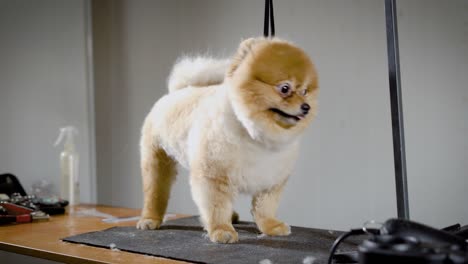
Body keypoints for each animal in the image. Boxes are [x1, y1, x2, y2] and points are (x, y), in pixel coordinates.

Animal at [135, 37, 318, 243]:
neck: (256, 136)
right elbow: (216, 206)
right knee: (155, 191)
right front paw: (221, 230)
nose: (306, 107)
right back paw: (150, 219)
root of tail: (179, 90)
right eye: (285, 88)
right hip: (157, 157)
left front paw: (271, 226)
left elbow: (265, 207)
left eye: (305, 91)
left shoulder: (272, 179)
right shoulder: (214, 175)